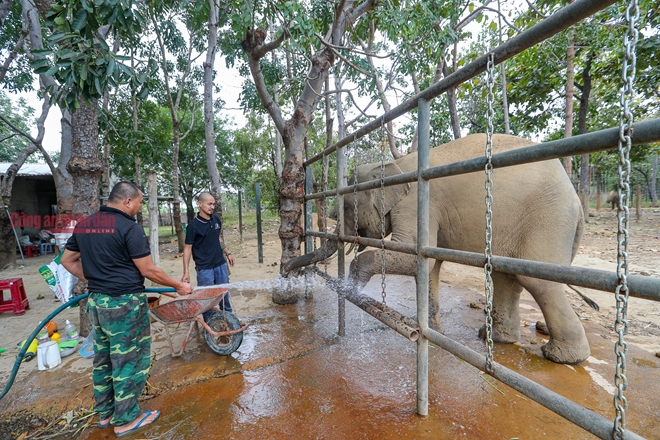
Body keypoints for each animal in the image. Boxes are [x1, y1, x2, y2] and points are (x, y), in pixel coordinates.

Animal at [284, 134, 588, 364]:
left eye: (347, 208)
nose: (285, 270)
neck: (391, 165)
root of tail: (576, 199)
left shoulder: (417, 203)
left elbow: (414, 255)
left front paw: (353, 287)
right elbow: (429, 266)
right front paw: (433, 331)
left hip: (548, 219)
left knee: (537, 281)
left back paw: (563, 358)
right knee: (506, 276)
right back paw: (495, 339)